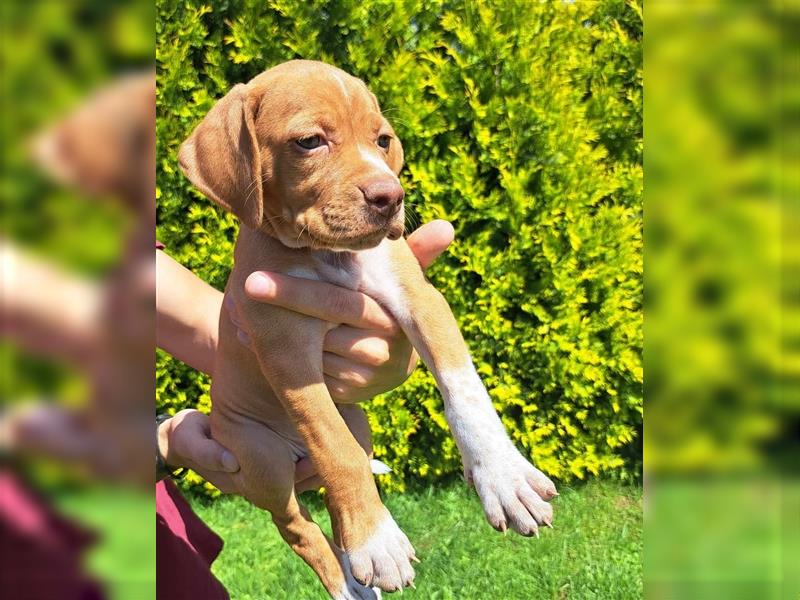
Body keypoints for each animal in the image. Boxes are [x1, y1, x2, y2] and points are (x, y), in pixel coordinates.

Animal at [179, 58, 556, 596]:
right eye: (310, 142)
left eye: (382, 140)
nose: (391, 197)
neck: (329, 255)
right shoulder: (284, 348)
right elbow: (330, 442)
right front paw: (377, 543)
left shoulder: (421, 300)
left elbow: (465, 390)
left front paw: (505, 478)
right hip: (261, 456)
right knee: (299, 525)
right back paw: (347, 579)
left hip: (358, 426)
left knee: (336, 489)